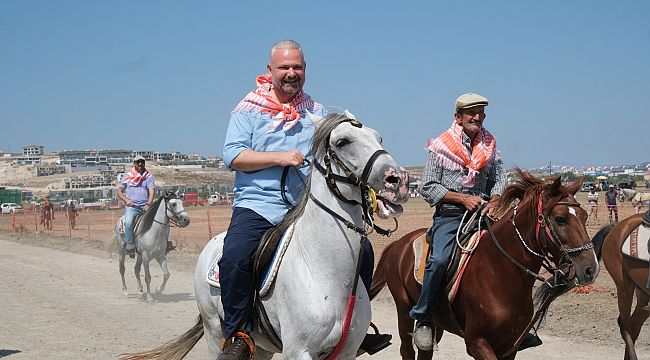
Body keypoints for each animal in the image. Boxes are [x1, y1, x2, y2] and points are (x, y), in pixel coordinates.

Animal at [119, 112, 408, 360]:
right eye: (343, 141)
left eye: (379, 138)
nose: (399, 180)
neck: (323, 271)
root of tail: (212, 243)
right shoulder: (298, 351)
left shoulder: (345, 352)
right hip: (214, 331)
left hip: (262, 345)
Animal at [370, 172, 596, 360]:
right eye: (560, 219)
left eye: (584, 217)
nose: (590, 269)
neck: (500, 273)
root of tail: (399, 244)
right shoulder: (478, 343)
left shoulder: (510, 348)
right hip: (403, 310)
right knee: (407, 350)